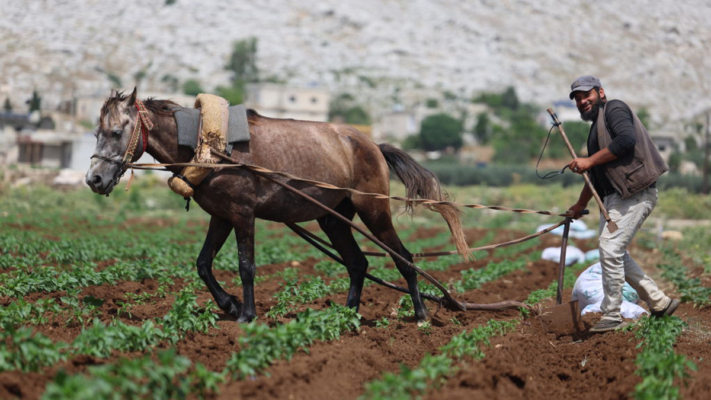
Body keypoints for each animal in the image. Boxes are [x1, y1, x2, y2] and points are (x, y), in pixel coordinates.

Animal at [86, 89, 470, 324]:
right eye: (96, 133)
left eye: (117, 131)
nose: (94, 179)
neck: (207, 144)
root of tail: (373, 144)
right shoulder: (221, 216)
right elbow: (203, 264)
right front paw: (229, 304)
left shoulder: (243, 214)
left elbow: (246, 266)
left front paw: (246, 314)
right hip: (334, 219)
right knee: (358, 263)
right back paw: (346, 315)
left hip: (373, 210)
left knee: (403, 258)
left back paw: (420, 315)